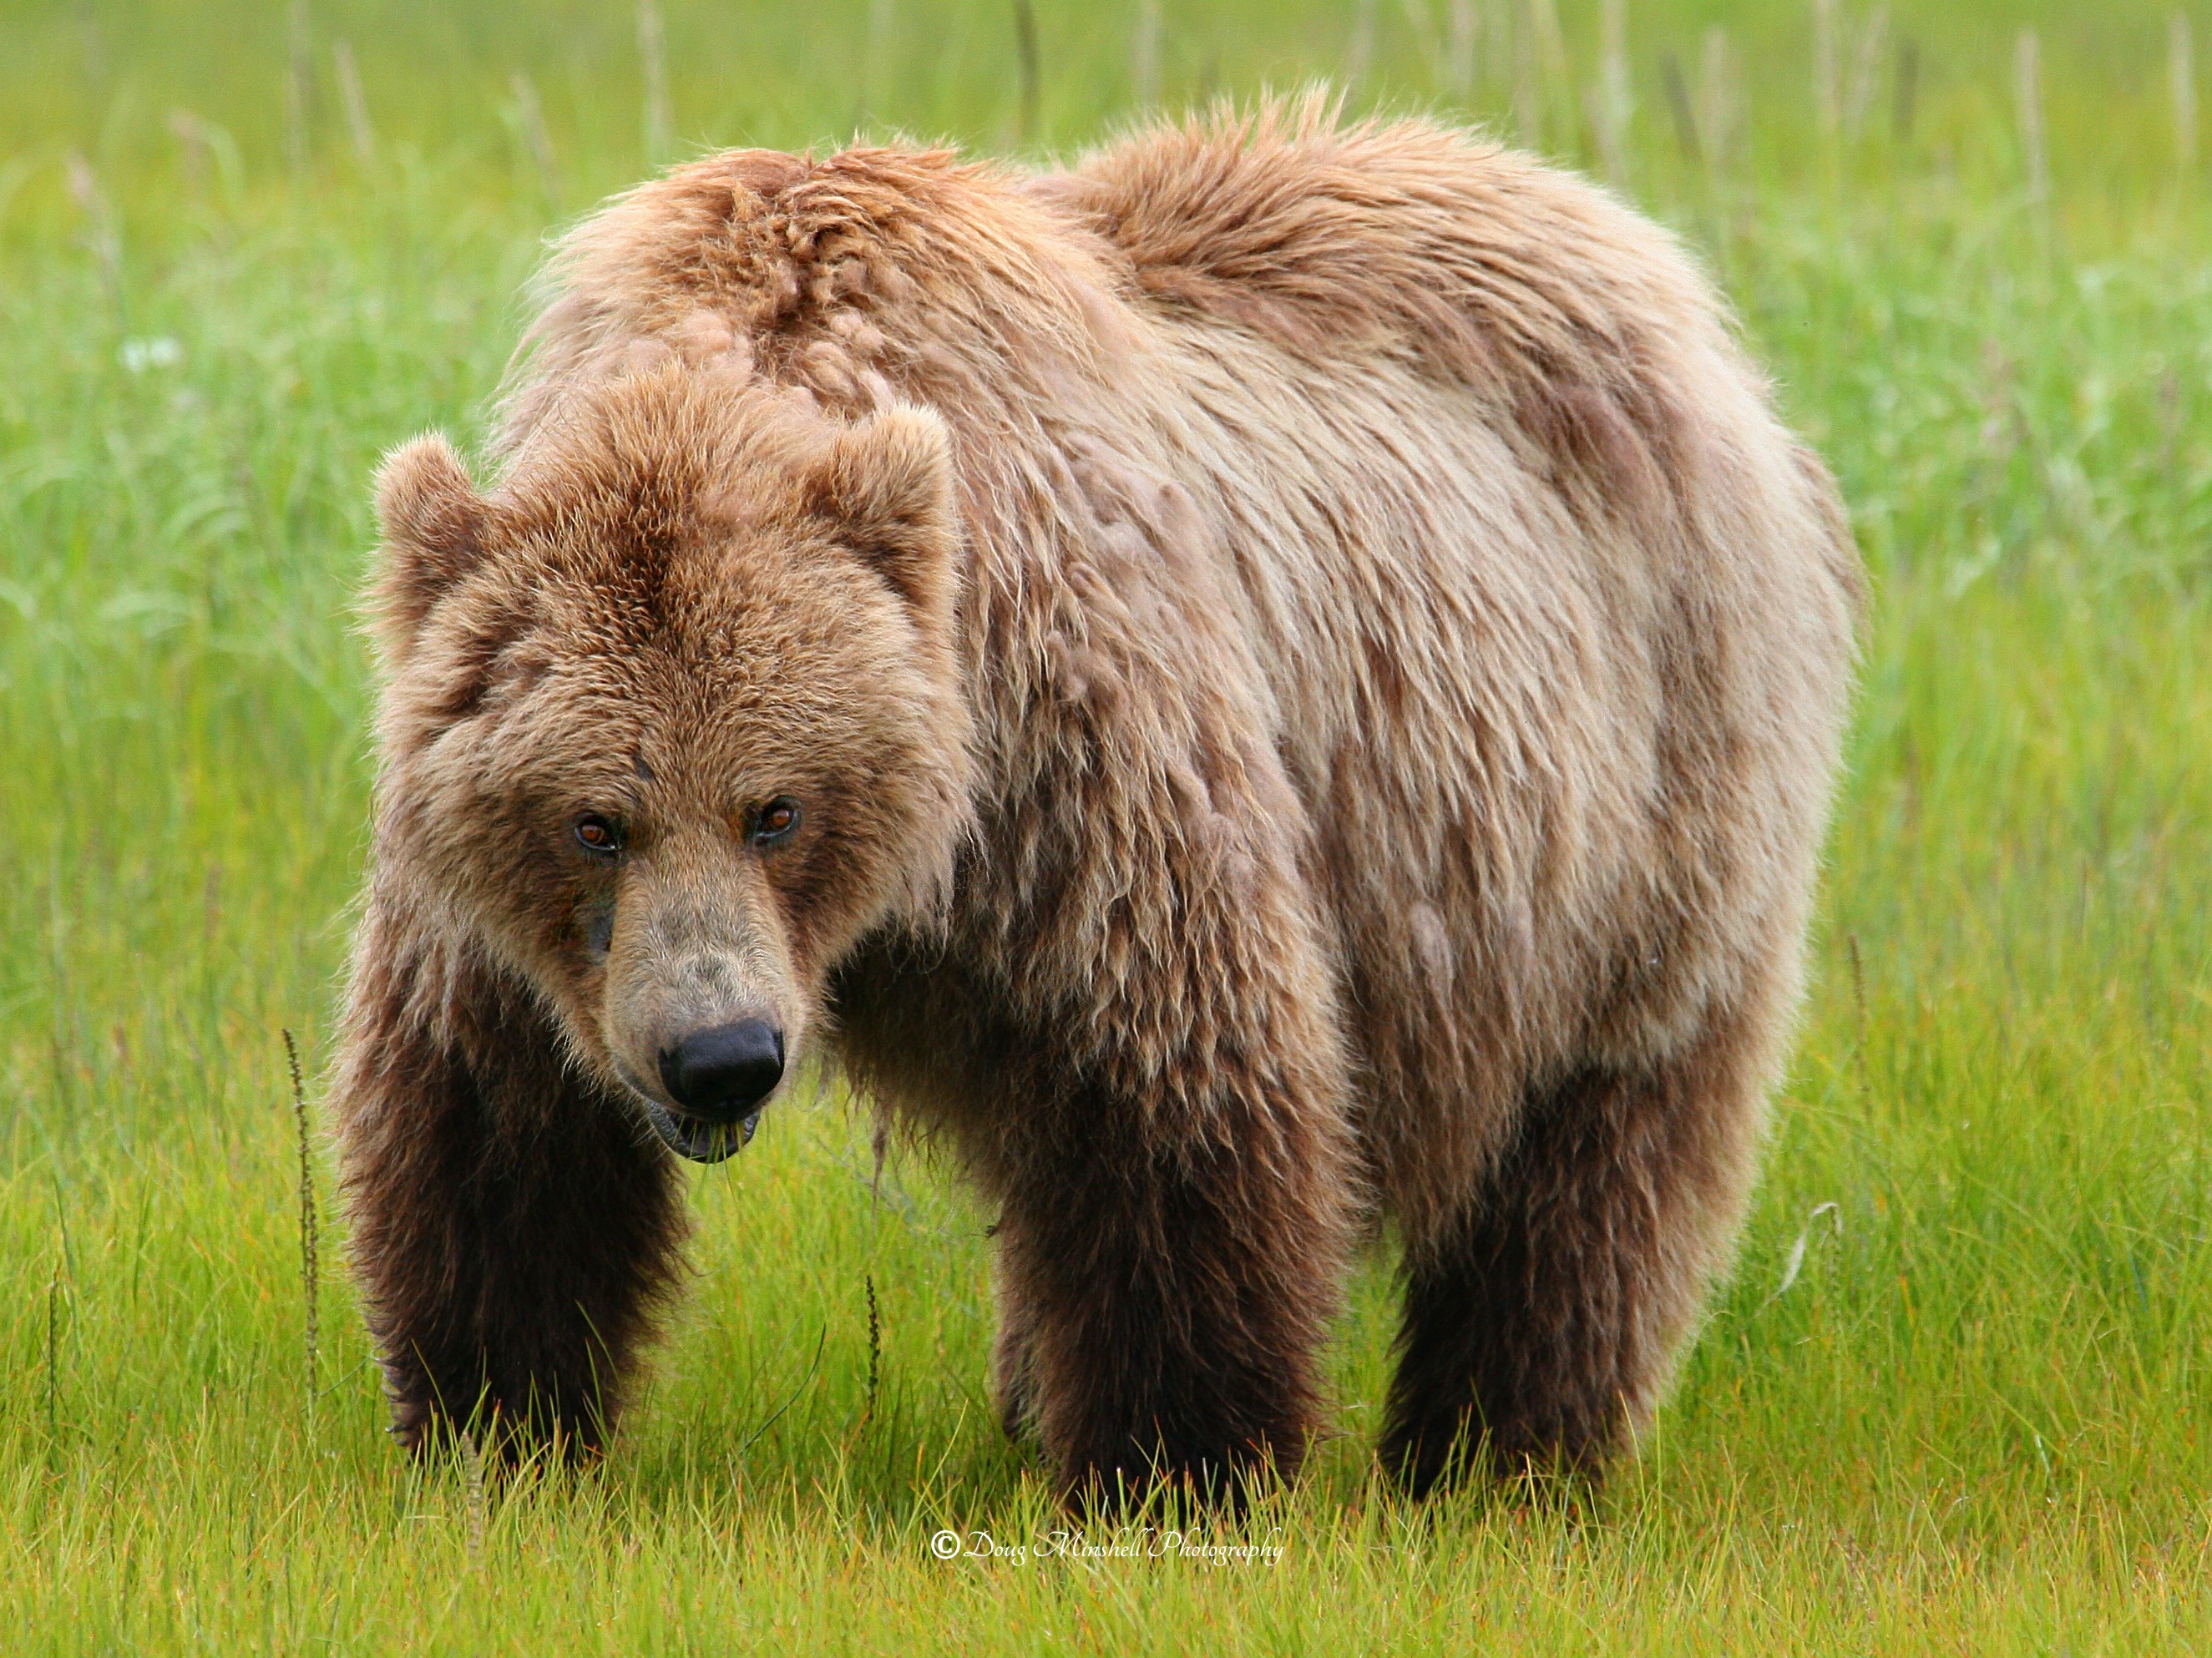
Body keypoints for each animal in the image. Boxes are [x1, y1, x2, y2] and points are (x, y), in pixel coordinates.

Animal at [331, 99, 1862, 1506]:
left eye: (779, 808)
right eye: (594, 819)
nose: (722, 1056)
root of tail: (1640, 251)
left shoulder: (1074, 753)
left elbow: (1167, 1083)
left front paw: (1176, 1461)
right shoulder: (495, 897)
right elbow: (494, 1124)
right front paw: (495, 1435)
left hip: (1644, 787)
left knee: (1600, 1142)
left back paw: (1500, 1452)